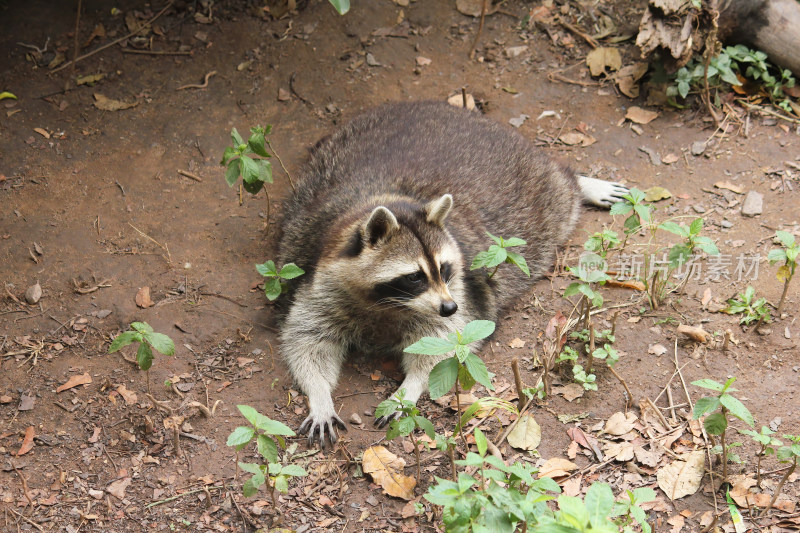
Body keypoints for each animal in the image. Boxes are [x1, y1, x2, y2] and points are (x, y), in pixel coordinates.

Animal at [278, 100, 628, 444]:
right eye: (414, 276)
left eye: (444, 268)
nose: (449, 307)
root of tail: (456, 111)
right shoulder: (318, 279)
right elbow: (307, 340)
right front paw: (319, 395)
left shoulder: (461, 291)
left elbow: (443, 341)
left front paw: (409, 387)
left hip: (536, 195)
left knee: (561, 192)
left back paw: (580, 183)